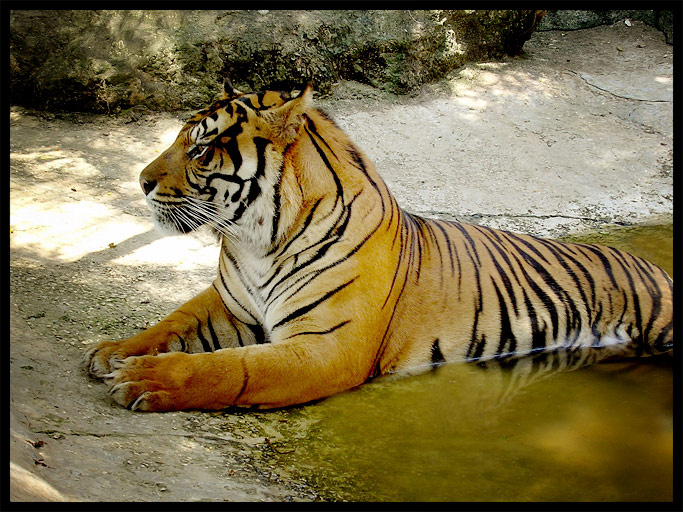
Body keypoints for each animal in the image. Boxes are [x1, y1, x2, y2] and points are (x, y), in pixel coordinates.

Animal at [84, 79, 674, 412]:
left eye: (201, 149)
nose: (141, 182)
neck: (256, 241)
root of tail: (653, 265)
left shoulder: (326, 346)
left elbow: (232, 368)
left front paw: (142, 378)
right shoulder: (230, 303)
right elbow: (172, 322)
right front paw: (113, 351)